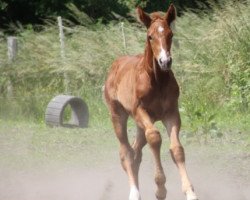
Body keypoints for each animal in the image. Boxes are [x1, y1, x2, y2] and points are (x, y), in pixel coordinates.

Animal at [103, 4, 197, 200]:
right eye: (150, 36)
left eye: (170, 34)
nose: (165, 62)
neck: (157, 81)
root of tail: (114, 65)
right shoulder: (141, 111)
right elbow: (154, 137)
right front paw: (160, 188)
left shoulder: (171, 113)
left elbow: (177, 149)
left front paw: (190, 192)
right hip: (118, 116)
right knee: (127, 151)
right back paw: (134, 192)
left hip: (140, 125)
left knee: (136, 150)